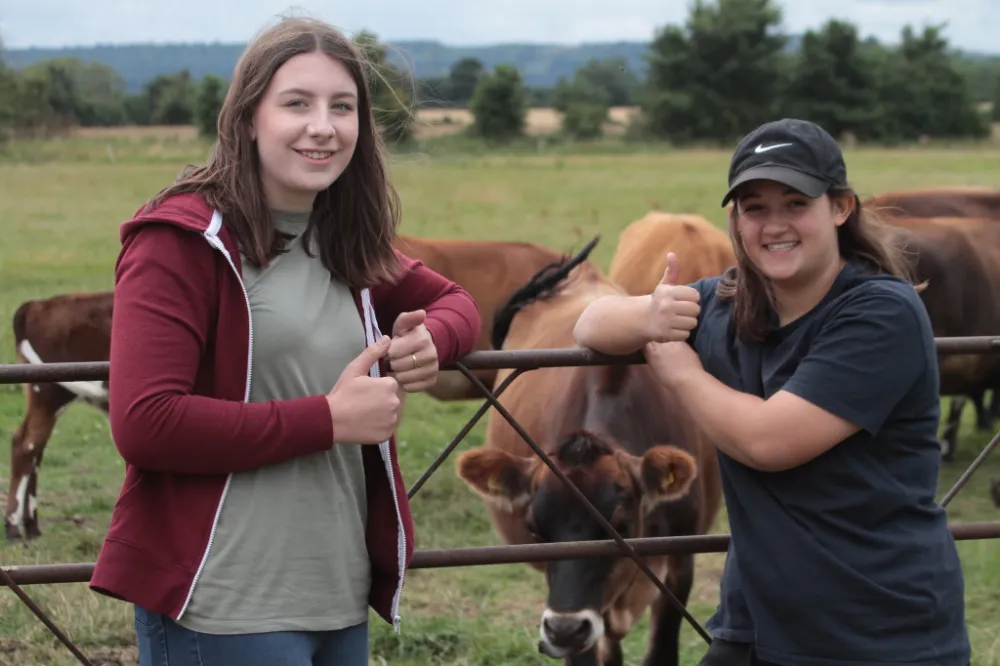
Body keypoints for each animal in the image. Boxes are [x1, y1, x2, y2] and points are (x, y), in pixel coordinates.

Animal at [3, 235, 569, 540]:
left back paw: (29, 522)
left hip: (44, 394)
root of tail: (35, 305)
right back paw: (18, 524)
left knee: (28, 447)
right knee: (27, 445)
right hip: (50, 394)